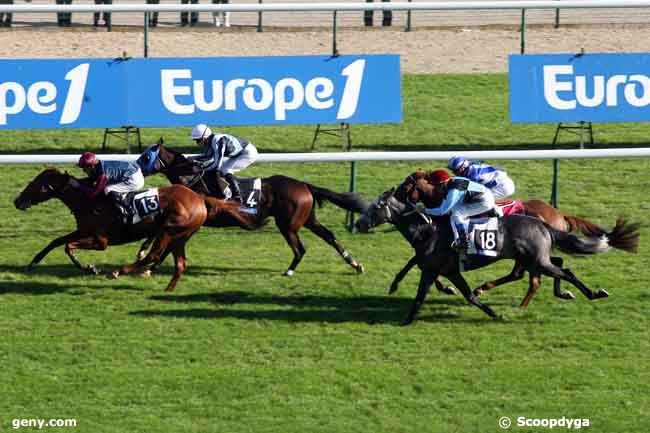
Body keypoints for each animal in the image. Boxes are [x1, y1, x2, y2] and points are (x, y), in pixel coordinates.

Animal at [13, 168, 254, 290]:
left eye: (37, 184)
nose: (17, 201)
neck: (88, 200)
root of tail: (199, 197)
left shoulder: (100, 241)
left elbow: (68, 247)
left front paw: (90, 268)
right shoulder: (83, 231)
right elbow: (56, 241)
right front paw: (32, 263)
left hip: (169, 230)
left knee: (153, 255)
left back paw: (120, 271)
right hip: (181, 236)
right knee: (180, 264)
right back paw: (167, 290)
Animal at [135, 140, 370, 276]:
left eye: (146, 156)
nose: (134, 167)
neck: (192, 180)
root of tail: (304, 185)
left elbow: (164, 238)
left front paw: (148, 263)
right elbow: (160, 234)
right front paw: (145, 258)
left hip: (288, 225)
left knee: (300, 249)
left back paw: (289, 271)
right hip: (308, 219)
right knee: (329, 236)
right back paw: (355, 264)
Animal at [352, 189, 636, 324]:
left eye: (376, 207)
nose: (357, 223)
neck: (428, 229)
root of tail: (544, 222)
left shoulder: (432, 269)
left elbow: (422, 293)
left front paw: (406, 319)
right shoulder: (447, 269)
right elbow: (463, 293)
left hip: (536, 260)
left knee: (559, 272)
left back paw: (592, 293)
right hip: (534, 259)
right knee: (548, 268)